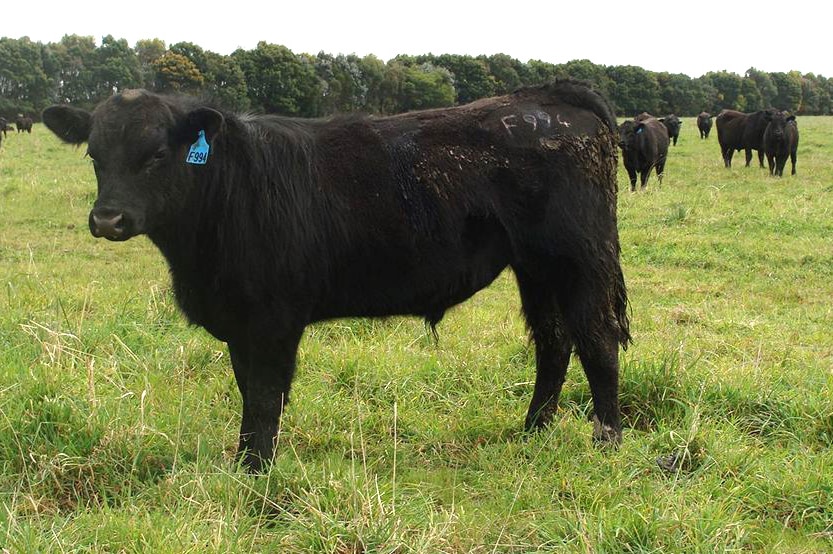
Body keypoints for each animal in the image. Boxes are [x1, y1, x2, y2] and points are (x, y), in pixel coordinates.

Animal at [42, 81, 632, 470]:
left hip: (578, 258)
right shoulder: (239, 323)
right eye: (93, 154)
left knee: (597, 340)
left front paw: (256, 471)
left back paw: (606, 441)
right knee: (553, 342)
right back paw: (531, 432)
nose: (107, 219)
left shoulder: (274, 320)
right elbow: (249, 390)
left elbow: (264, 396)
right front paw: (246, 462)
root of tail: (550, 96)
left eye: (159, 153)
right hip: (536, 268)